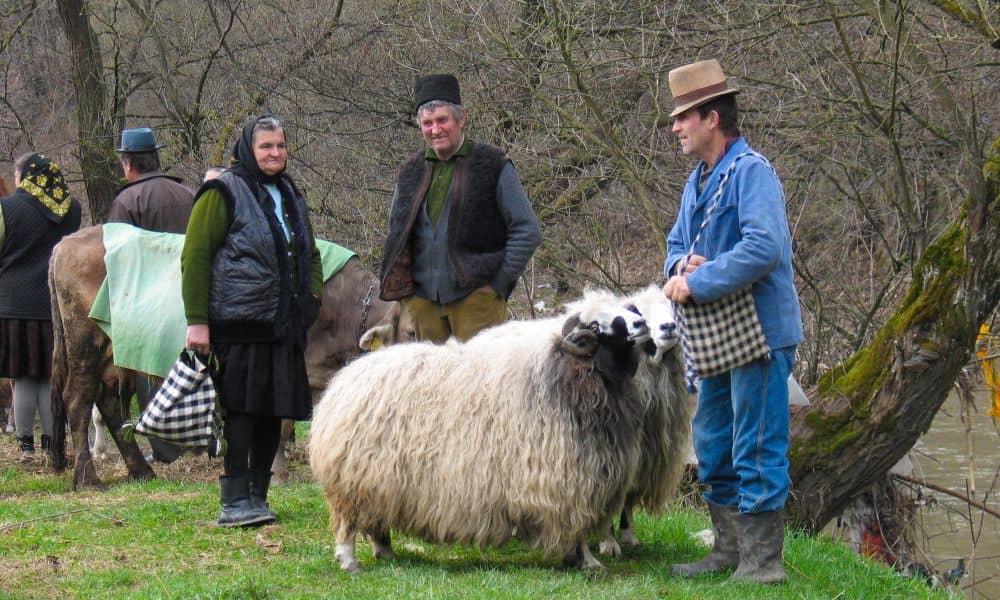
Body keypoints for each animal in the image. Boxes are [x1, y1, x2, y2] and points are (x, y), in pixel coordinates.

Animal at [48, 225, 410, 488]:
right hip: (85, 343)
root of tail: (69, 240)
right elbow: (280, 425)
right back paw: (88, 478)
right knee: (79, 401)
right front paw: (276, 474)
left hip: (110, 351)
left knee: (107, 402)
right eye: (408, 330)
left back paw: (141, 471)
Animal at [314, 296, 656, 572]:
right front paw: (588, 561)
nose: (642, 323)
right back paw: (349, 560)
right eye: (596, 325)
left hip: (379, 479)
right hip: (354, 478)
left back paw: (385, 552)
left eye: (625, 310)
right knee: (348, 522)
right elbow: (577, 528)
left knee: (376, 521)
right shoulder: (568, 483)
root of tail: (349, 376)